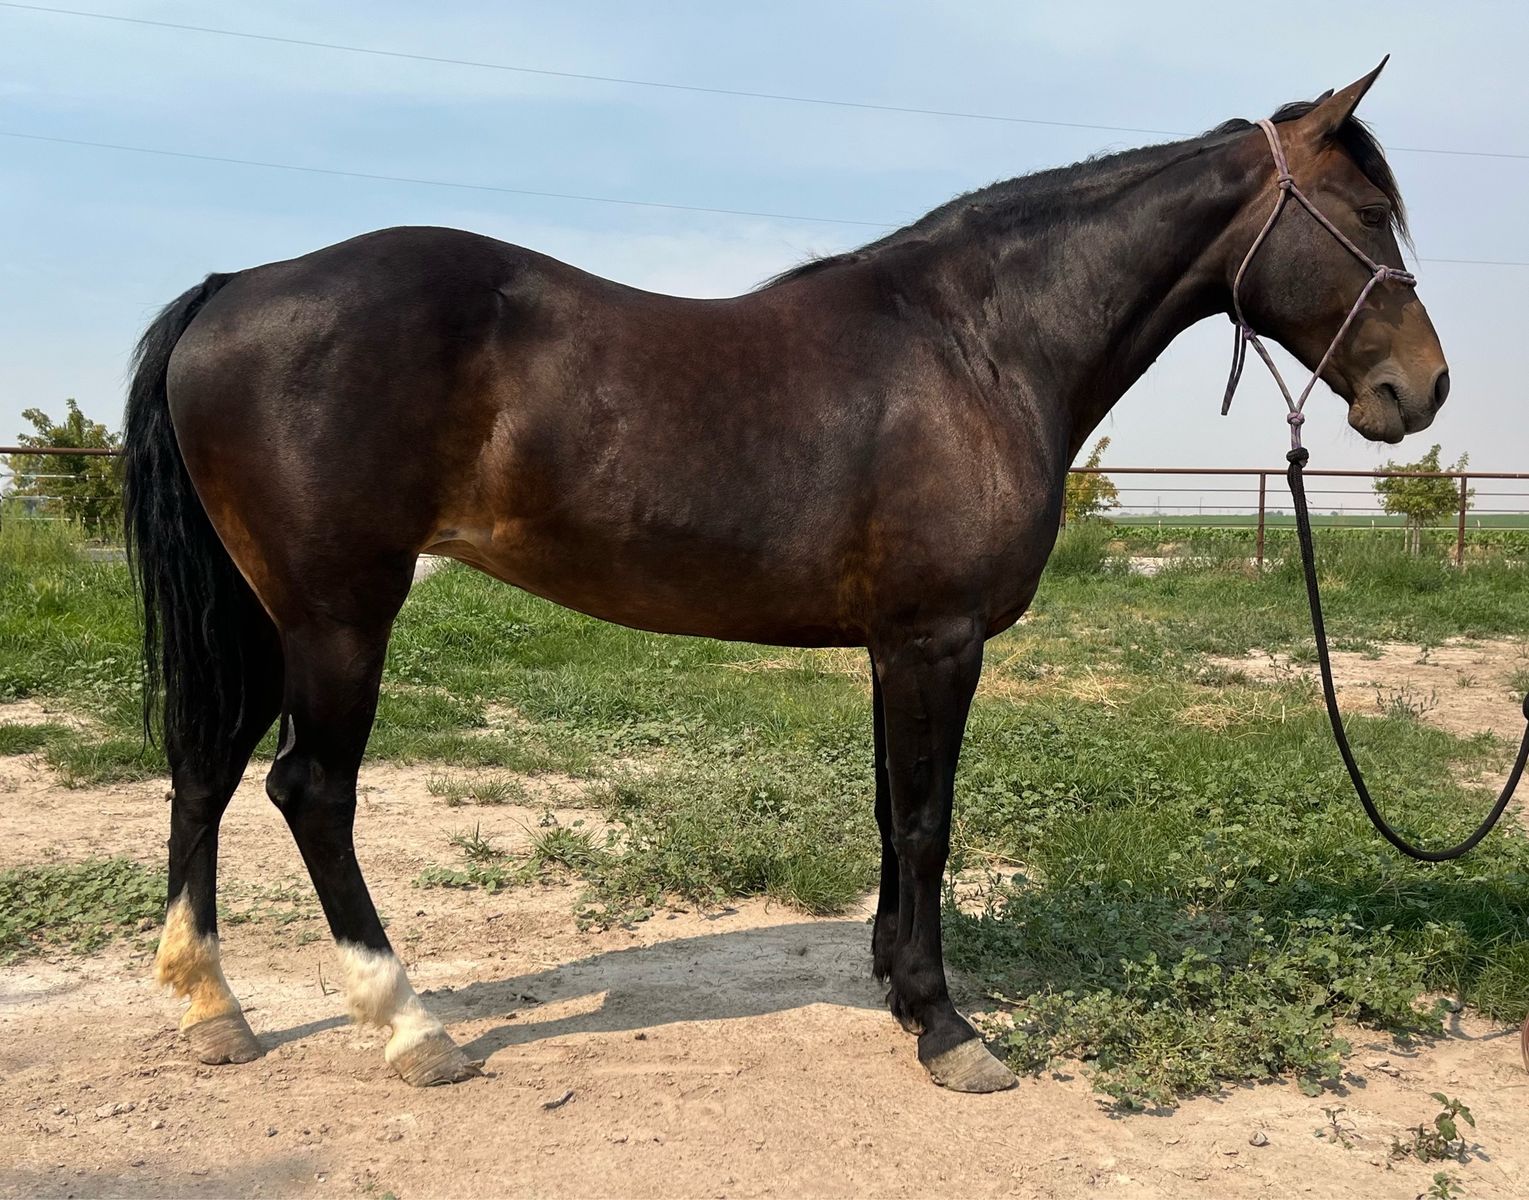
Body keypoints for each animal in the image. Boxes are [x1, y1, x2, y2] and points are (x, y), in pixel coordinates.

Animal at [124, 62, 1447, 1093]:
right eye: (1364, 211)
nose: (1420, 389)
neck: (977, 347)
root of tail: (235, 288)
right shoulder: (935, 639)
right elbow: (924, 823)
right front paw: (945, 1026)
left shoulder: (891, 644)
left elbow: (887, 816)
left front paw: (897, 987)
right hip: (340, 613)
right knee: (308, 789)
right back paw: (408, 1027)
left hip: (266, 614)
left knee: (204, 767)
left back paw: (213, 1008)